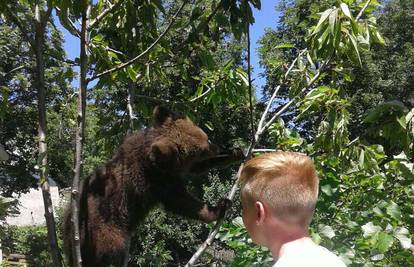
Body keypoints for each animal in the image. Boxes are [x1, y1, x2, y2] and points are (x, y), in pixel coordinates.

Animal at [63, 107, 244, 267]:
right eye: (203, 149)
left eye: (207, 138)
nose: (217, 148)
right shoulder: (155, 181)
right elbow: (181, 202)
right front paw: (219, 207)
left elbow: (197, 168)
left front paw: (235, 153)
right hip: (102, 230)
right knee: (113, 251)